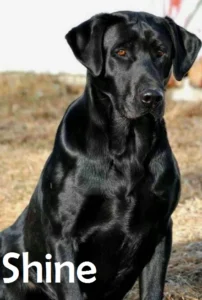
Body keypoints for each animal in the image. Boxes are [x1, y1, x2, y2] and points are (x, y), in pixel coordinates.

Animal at [0, 10, 201, 298]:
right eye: (120, 52)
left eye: (161, 52)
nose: (152, 97)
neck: (128, 148)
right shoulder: (64, 237)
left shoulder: (161, 230)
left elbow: (152, 290)